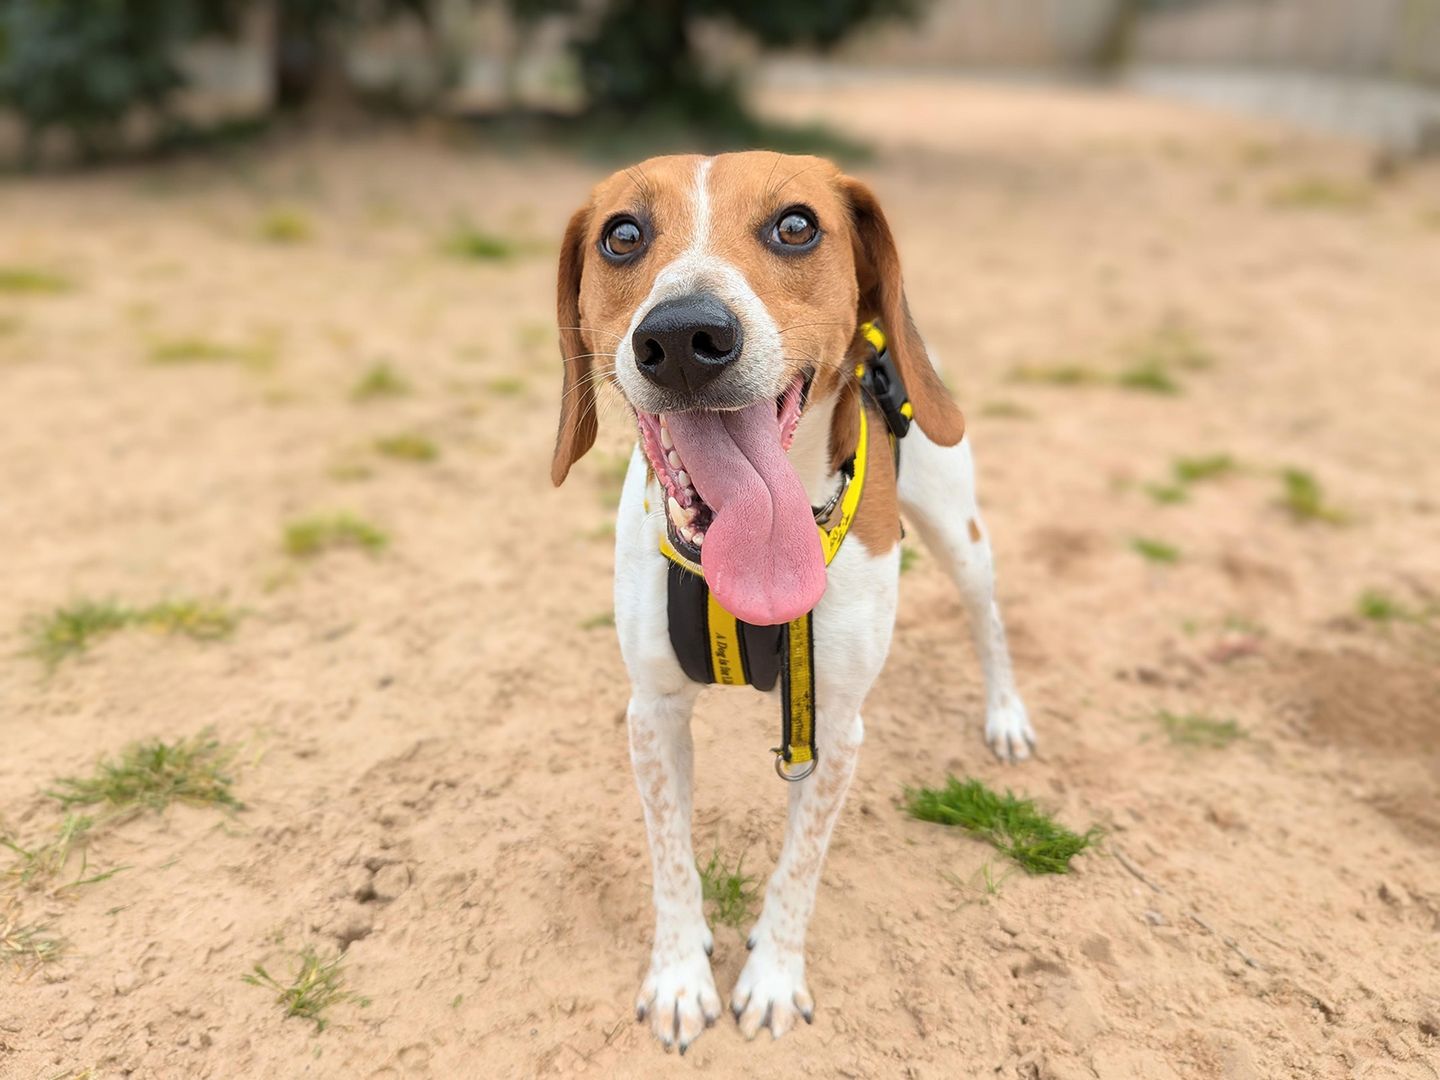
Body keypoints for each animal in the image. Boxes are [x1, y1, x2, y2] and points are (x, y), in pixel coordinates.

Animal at [550, 152, 1036, 1048]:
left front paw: (773, 976)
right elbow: (672, 859)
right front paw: (680, 975)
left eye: (797, 225)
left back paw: (1007, 716)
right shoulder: (653, 712)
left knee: (988, 623)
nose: (683, 337)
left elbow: (798, 869)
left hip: (962, 533)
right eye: (622, 235)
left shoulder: (836, 730)